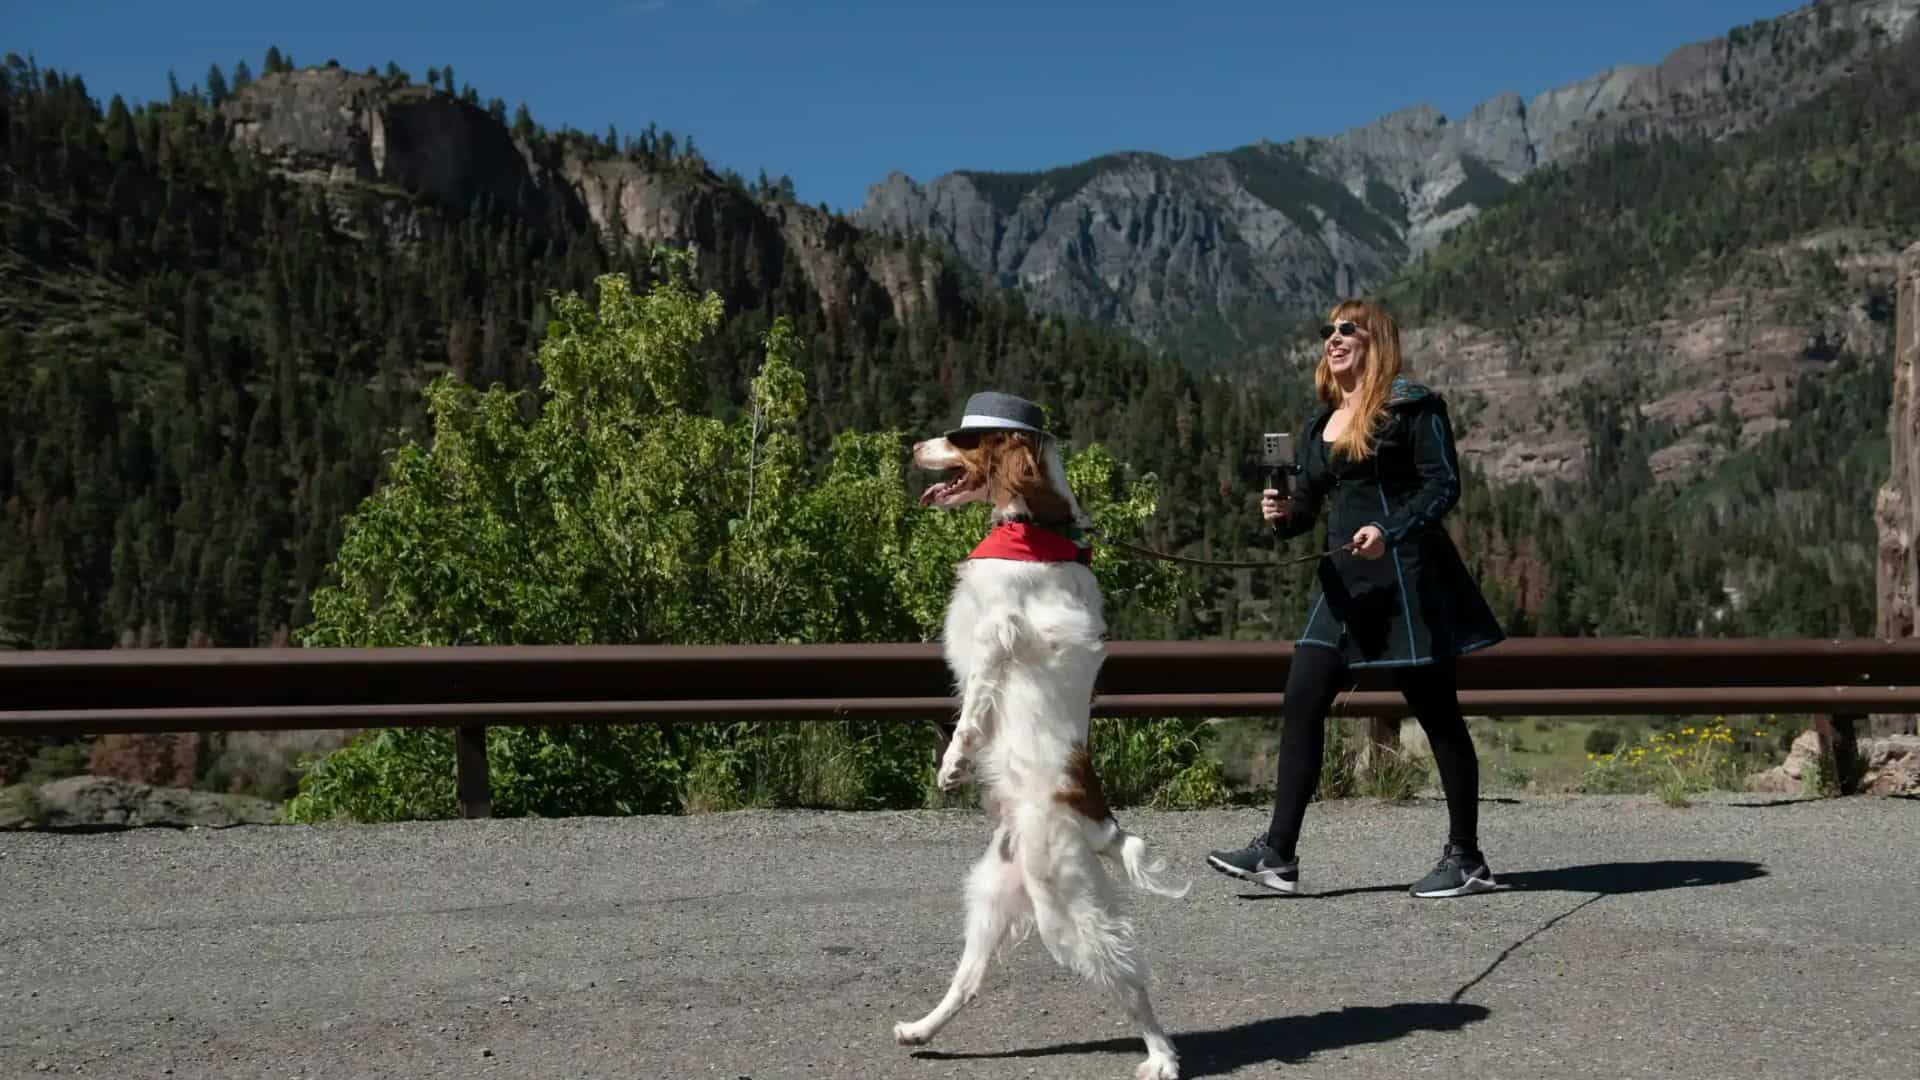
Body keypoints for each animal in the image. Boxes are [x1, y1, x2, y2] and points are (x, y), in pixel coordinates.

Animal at [894, 393, 1190, 1076]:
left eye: (961, 439)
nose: (911, 446)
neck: (1039, 527)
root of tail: (1101, 821)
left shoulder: (996, 633)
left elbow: (971, 711)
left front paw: (952, 765)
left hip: (1064, 907)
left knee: (1129, 977)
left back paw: (1163, 1055)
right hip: (994, 895)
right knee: (968, 980)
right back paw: (920, 1029)